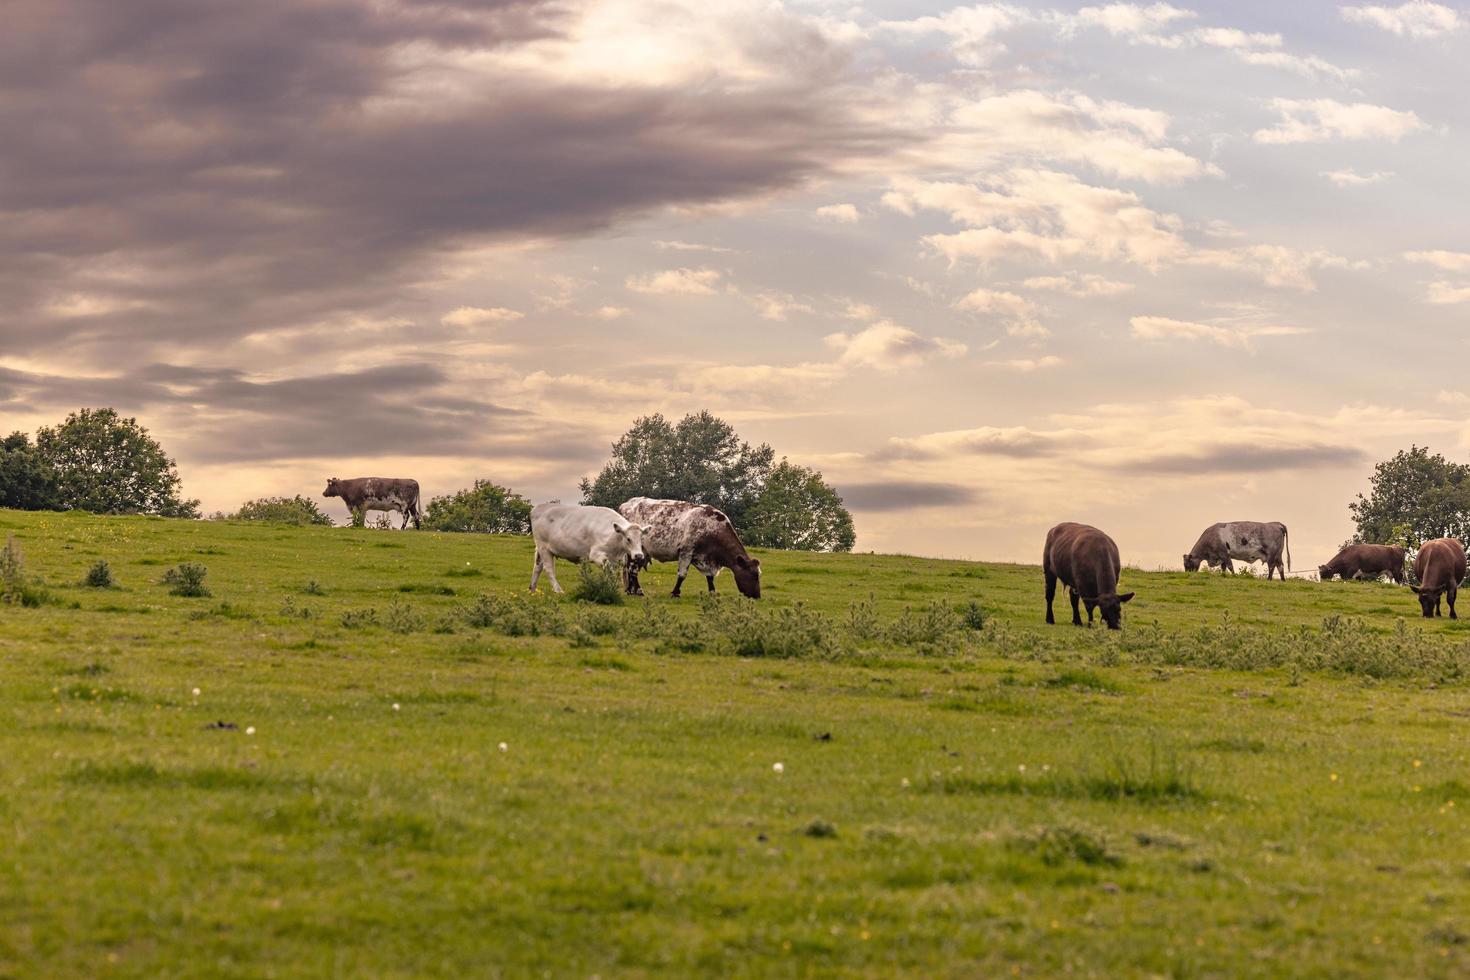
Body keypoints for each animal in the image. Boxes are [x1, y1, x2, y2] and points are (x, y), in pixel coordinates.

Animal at [614, 499, 764, 599]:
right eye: (754, 575)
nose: (757, 596)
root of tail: (626, 504)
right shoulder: (686, 552)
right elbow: (682, 575)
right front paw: (675, 592)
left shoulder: (705, 558)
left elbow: (710, 577)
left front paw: (712, 592)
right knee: (632, 570)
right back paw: (638, 591)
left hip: (642, 552)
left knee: (631, 570)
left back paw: (631, 590)